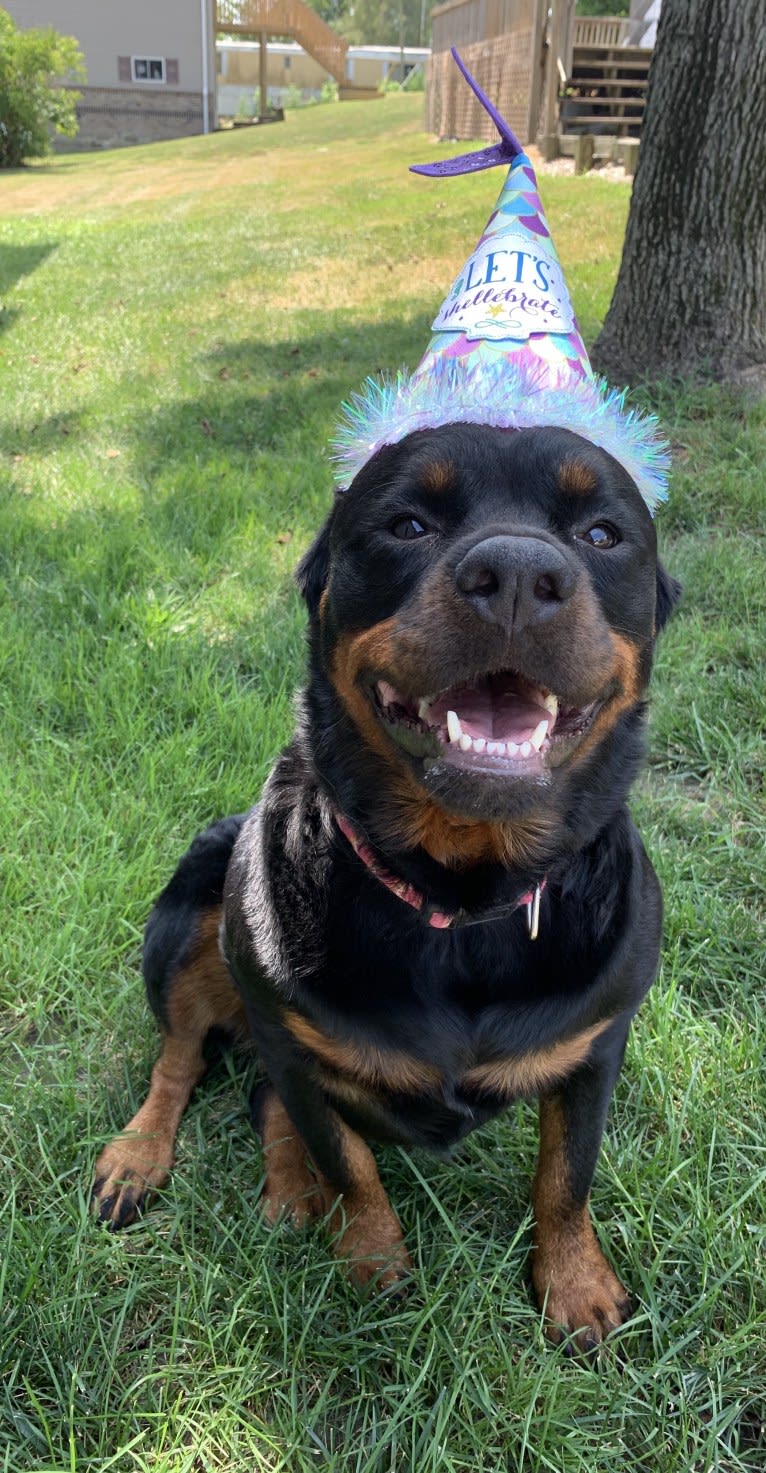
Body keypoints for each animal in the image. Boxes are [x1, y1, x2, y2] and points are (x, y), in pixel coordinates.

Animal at [92, 421, 680, 1349]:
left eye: (602, 533)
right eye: (407, 524)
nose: (519, 575)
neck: (460, 901)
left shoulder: (598, 1042)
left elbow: (567, 1175)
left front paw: (576, 1284)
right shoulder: (292, 1035)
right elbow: (352, 1164)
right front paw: (372, 1261)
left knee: (257, 1092)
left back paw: (287, 1189)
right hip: (196, 905)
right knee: (182, 1057)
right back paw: (141, 1157)